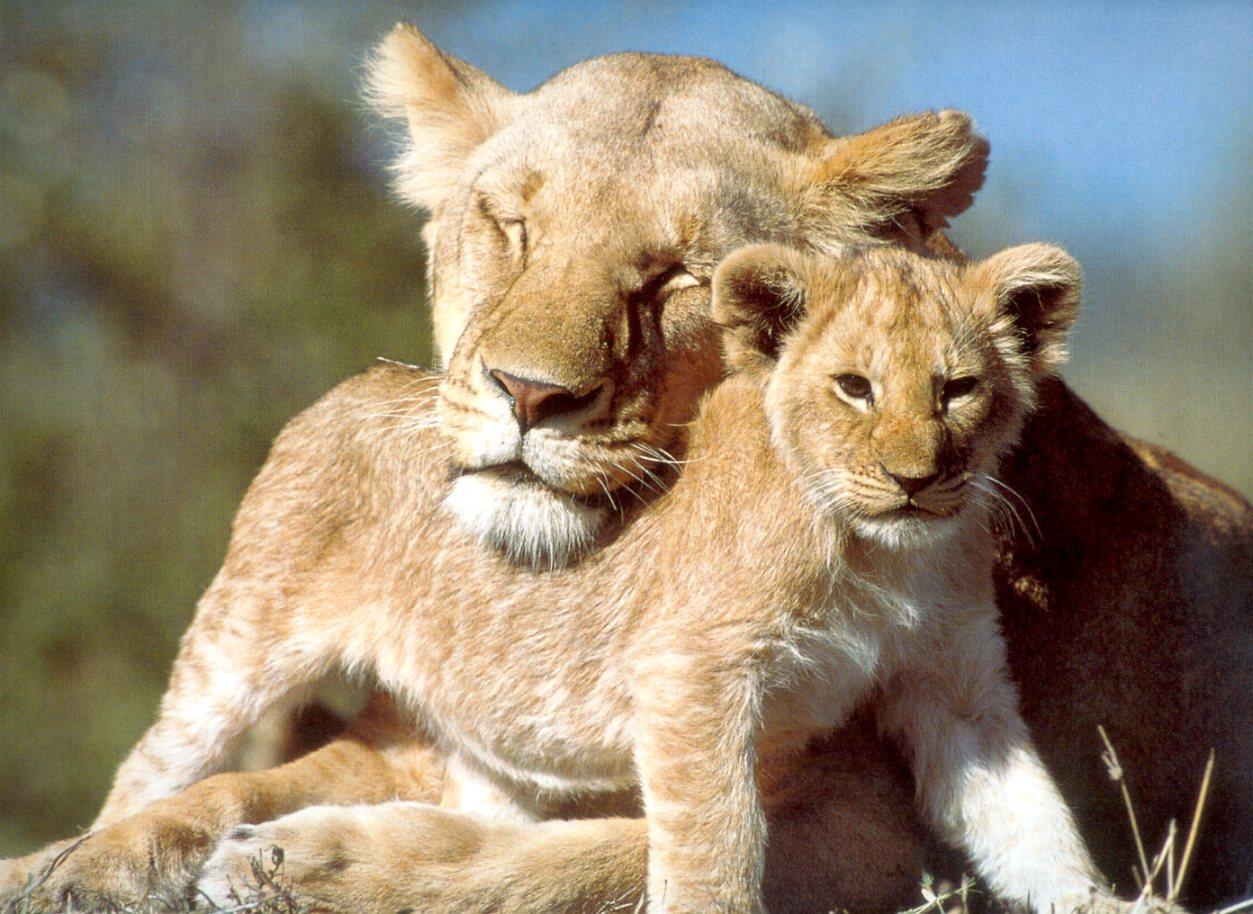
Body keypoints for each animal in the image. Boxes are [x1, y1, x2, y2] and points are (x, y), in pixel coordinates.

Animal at [2, 22, 1248, 912]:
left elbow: (594, 858)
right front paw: (79, 862)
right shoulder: (425, 735)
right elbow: (208, 789)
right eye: (507, 225)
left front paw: (319, 866)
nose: (525, 393)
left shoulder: (876, 824)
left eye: (678, 276)